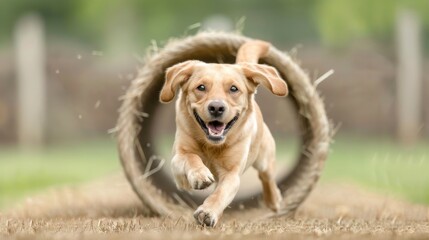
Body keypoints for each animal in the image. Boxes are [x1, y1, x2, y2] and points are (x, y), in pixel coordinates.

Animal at [158, 40, 288, 226]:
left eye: (234, 89)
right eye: (201, 87)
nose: (216, 107)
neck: (211, 145)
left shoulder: (232, 174)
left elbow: (221, 193)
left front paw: (208, 212)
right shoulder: (178, 158)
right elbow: (191, 157)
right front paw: (200, 175)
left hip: (265, 157)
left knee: (267, 177)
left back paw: (274, 200)